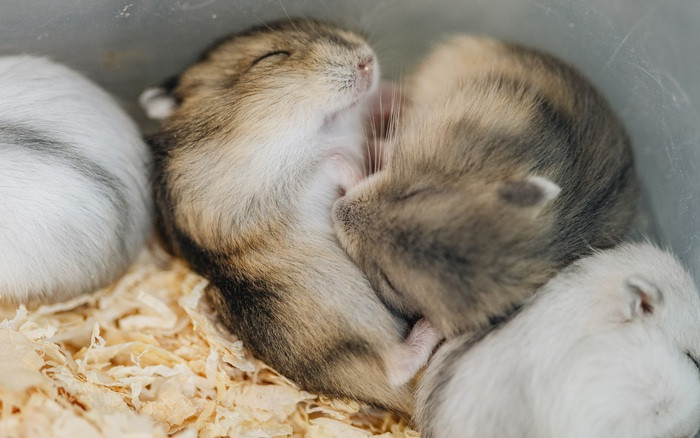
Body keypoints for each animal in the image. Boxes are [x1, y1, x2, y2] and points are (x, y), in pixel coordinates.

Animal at [147, 20, 423, 415]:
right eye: (270, 57)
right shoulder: (257, 196)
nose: (367, 62)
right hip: (340, 306)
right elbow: (332, 163)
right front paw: (360, 167)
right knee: (396, 368)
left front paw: (394, 97)